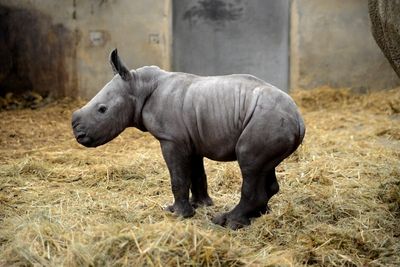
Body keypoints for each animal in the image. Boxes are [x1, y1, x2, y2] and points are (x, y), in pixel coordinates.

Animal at [72, 49, 304, 229]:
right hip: (271, 122)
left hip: (267, 120)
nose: (78, 134)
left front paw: (177, 214)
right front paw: (200, 205)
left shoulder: (171, 139)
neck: (138, 86)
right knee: (264, 168)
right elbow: (196, 173)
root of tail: (299, 119)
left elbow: (178, 177)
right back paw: (258, 215)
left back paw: (228, 222)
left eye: (102, 110)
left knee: (249, 164)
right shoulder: (191, 138)